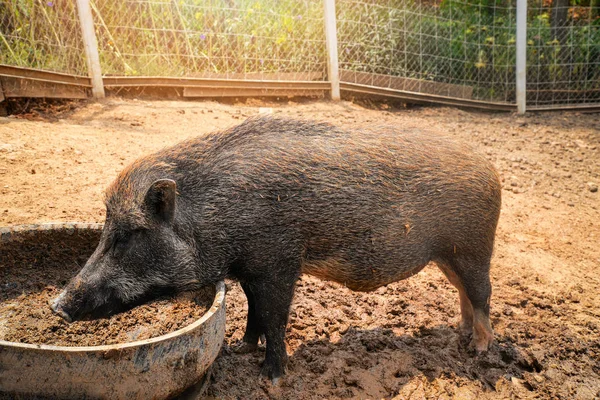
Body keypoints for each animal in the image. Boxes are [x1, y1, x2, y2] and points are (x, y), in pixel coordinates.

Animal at [52, 115, 502, 382]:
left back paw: (479, 350)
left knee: (483, 293)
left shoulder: (279, 262)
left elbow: (274, 316)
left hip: (473, 247)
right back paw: (461, 337)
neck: (213, 217)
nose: (57, 306)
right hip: (447, 255)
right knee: (463, 293)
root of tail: (490, 168)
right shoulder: (252, 270)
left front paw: (271, 375)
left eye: (129, 233)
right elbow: (254, 312)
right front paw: (241, 348)